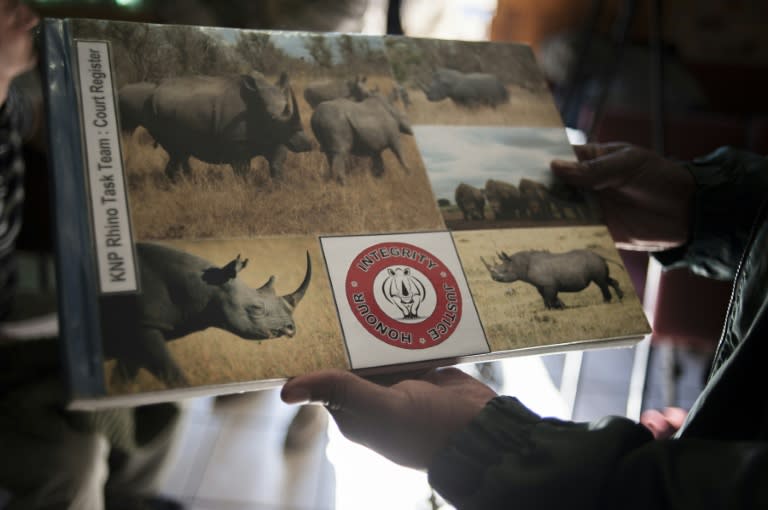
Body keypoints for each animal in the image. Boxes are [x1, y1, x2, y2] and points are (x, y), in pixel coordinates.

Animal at [486, 249, 624, 308]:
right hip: (596, 262)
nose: (493, 278)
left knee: (600, 282)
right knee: (606, 279)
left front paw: (558, 307)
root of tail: (600, 255)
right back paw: (621, 297)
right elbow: (545, 297)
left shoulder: (549, 284)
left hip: (594, 263)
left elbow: (551, 296)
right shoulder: (540, 285)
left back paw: (606, 302)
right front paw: (551, 308)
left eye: (505, 271)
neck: (519, 264)